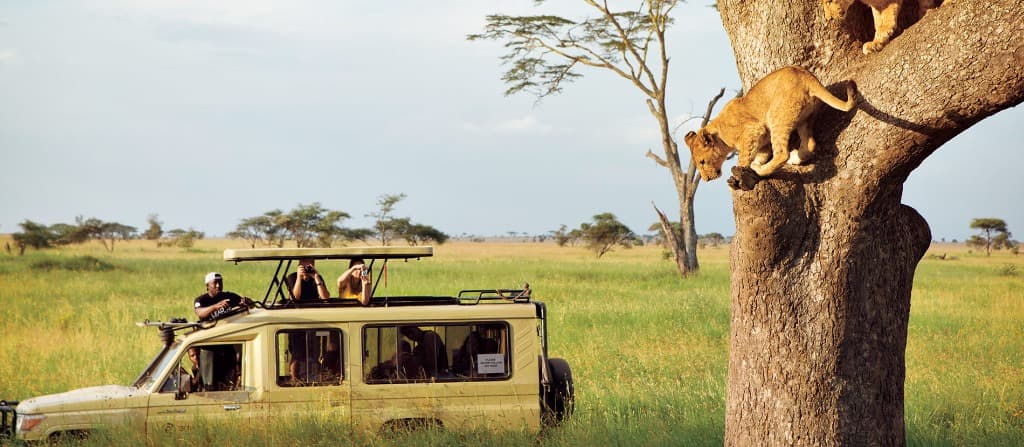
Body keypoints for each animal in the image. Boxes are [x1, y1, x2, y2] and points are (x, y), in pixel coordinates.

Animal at [684, 66, 856, 191]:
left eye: (702, 162)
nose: (706, 179)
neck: (719, 134)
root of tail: (805, 75)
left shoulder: (753, 130)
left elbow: (743, 158)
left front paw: (743, 173)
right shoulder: (762, 142)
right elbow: (759, 156)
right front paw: (755, 165)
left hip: (776, 117)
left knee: (782, 154)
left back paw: (765, 169)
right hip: (805, 119)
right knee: (811, 143)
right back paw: (795, 158)